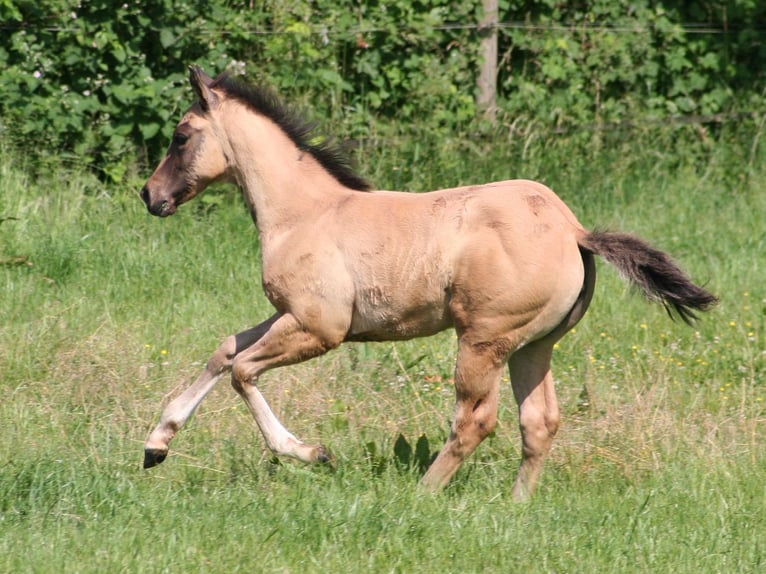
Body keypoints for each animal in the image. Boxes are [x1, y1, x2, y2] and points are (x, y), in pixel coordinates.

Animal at [139, 66, 717, 499]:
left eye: (180, 136)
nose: (149, 195)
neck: (305, 212)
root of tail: (573, 230)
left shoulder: (320, 328)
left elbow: (242, 371)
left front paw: (310, 452)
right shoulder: (292, 314)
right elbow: (224, 350)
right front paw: (156, 444)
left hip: (484, 341)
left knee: (476, 420)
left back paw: (421, 496)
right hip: (534, 345)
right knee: (539, 421)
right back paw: (516, 505)